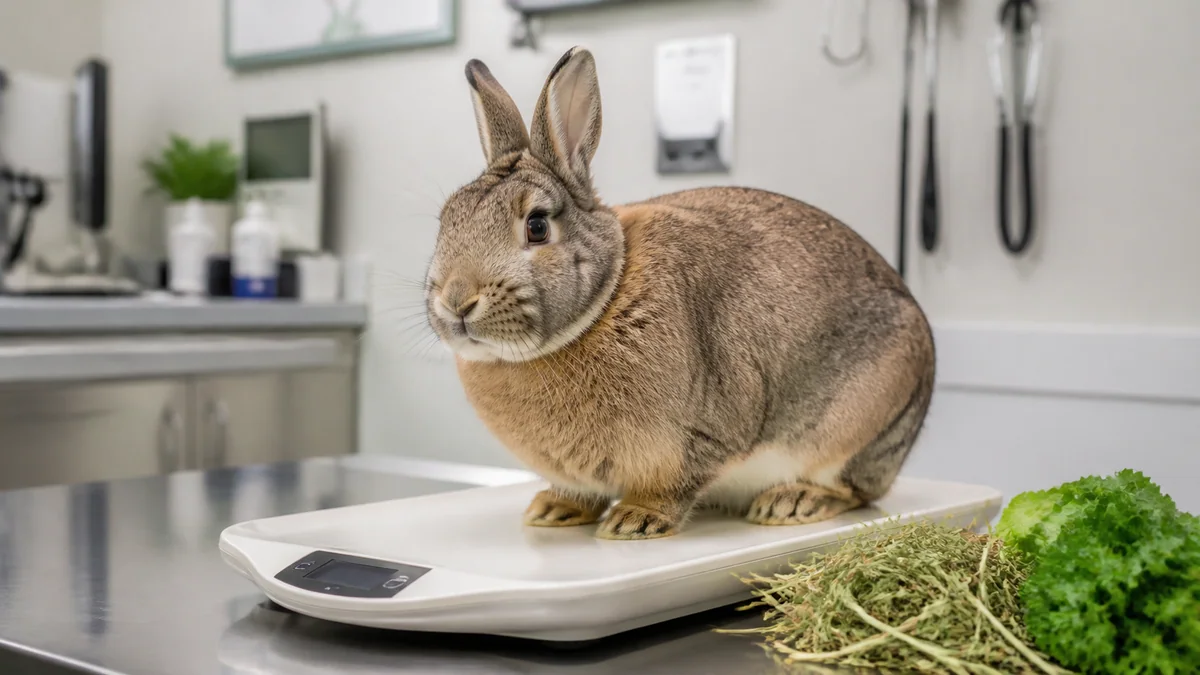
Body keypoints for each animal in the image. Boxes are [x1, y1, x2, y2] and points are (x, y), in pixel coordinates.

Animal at [423, 47, 936, 540]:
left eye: (537, 226)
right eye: (446, 221)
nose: (456, 302)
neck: (605, 300)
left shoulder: (696, 437)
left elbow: (671, 486)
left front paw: (634, 521)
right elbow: (579, 493)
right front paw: (552, 510)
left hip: (859, 429)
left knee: (855, 491)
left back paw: (791, 503)